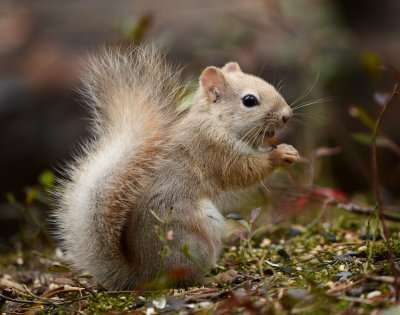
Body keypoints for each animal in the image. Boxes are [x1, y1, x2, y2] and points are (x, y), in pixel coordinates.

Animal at [54, 45, 298, 290]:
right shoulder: (214, 151)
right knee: (190, 277)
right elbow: (245, 171)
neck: (215, 121)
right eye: (249, 100)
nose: (287, 115)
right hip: (194, 236)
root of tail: (146, 274)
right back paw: (219, 277)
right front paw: (279, 155)